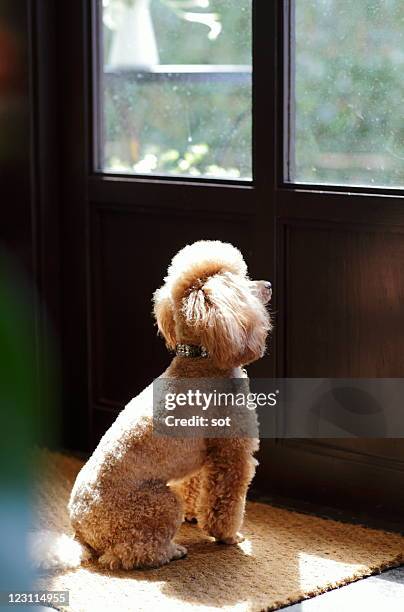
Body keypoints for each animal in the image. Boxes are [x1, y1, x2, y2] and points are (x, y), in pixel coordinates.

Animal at [37, 239, 272, 568]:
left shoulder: (203, 456)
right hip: (157, 504)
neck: (200, 360)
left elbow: (194, 485)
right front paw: (228, 536)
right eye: (243, 282)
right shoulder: (232, 453)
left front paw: (193, 516)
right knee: (128, 553)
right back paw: (170, 551)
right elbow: (225, 502)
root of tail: (81, 535)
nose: (269, 286)